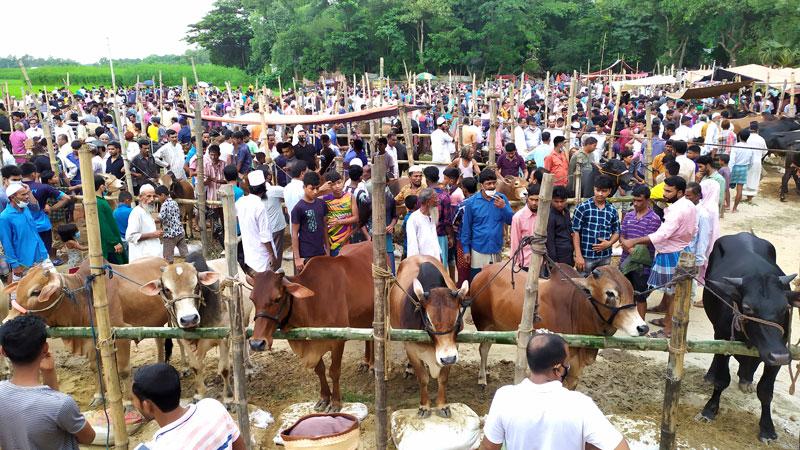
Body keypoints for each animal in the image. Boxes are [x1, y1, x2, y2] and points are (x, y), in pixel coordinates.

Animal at [247, 241, 376, 414]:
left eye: (277, 298)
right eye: (252, 299)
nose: (256, 343)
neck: (312, 302)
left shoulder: (338, 340)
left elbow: (334, 371)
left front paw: (335, 402)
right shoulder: (313, 340)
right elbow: (319, 369)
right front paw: (324, 399)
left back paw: (373, 365)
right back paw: (366, 362)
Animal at [390, 255, 472, 416]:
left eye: (457, 318)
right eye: (428, 320)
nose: (448, 359)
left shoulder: (454, 347)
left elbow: (443, 379)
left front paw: (442, 405)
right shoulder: (411, 348)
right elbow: (423, 379)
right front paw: (424, 406)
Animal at [468, 262, 648, 388]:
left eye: (633, 293)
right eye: (610, 293)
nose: (643, 327)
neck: (577, 309)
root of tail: (483, 271)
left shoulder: (576, 366)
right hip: (483, 324)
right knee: (483, 349)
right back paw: (482, 378)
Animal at [696, 234, 796, 442]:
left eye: (784, 307)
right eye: (748, 307)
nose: (779, 355)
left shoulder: (779, 349)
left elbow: (766, 391)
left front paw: (767, 428)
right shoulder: (724, 340)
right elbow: (721, 380)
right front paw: (709, 410)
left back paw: (746, 379)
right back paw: (711, 375)